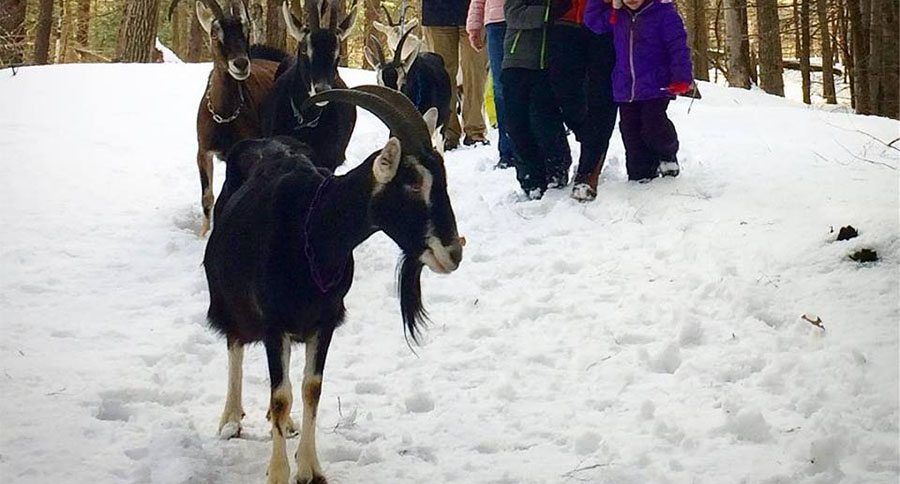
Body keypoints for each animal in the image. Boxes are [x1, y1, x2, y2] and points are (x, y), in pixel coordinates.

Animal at [174, 0, 280, 236]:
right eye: (215, 34)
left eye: (246, 30)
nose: (240, 64)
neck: (224, 116)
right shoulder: (203, 151)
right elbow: (207, 197)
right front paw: (204, 234)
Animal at [204, 84, 464, 484]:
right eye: (414, 182)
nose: (454, 252)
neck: (312, 229)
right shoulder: (274, 322)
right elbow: (280, 394)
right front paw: (278, 472)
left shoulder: (324, 320)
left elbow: (311, 389)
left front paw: (310, 467)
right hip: (229, 294)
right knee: (234, 341)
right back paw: (231, 418)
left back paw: (285, 423)